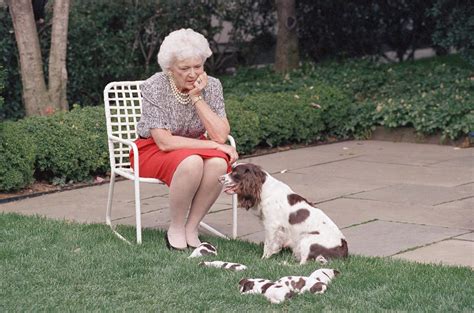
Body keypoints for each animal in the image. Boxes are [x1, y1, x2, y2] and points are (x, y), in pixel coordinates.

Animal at [218, 163, 348, 264]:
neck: (264, 190)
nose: (219, 178)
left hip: (308, 241)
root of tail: (344, 250)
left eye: (235, 173)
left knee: (303, 263)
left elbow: (268, 245)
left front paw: (263, 259)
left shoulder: (271, 225)